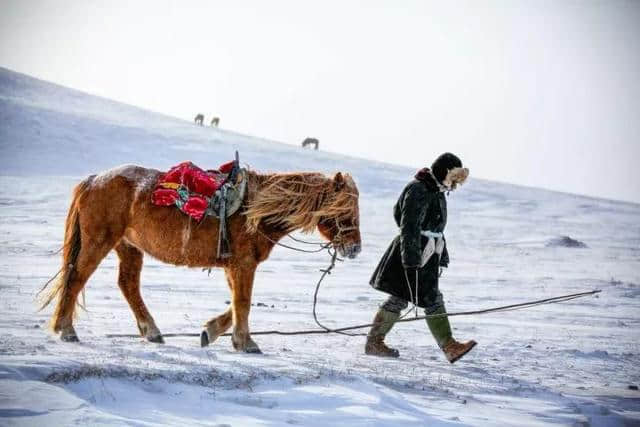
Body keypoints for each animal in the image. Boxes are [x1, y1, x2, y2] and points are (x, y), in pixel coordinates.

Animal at [40, 166, 360, 352]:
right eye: (345, 210)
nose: (355, 248)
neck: (254, 210)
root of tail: (93, 180)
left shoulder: (234, 266)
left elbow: (235, 304)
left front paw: (212, 332)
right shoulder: (243, 264)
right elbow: (243, 302)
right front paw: (245, 342)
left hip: (128, 247)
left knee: (127, 284)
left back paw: (152, 331)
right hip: (99, 241)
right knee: (77, 277)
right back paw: (66, 330)